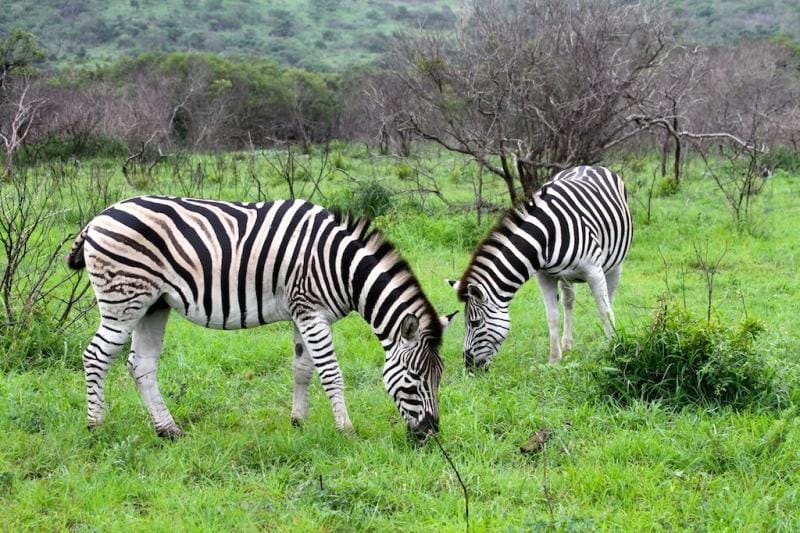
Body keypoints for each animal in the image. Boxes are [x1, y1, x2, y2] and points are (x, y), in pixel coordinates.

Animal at [66, 196, 456, 440]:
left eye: (439, 377)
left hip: (153, 304)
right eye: (414, 379)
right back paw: (95, 426)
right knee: (96, 356)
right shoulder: (311, 312)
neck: (341, 265)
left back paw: (168, 430)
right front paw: (346, 429)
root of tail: (98, 217)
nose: (430, 434)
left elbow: (302, 369)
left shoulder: (302, 313)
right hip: (124, 300)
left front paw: (298, 421)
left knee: (140, 365)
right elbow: (331, 373)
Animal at [448, 165, 632, 368]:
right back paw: (567, 344)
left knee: (609, 300)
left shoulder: (594, 271)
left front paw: (612, 349)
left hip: (615, 264)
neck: (547, 236)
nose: (469, 366)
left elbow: (604, 312)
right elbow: (552, 317)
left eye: (475, 323)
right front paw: (554, 360)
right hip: (566, 276)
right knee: (568, 302)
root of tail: (588, 166)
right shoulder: (545, 276)